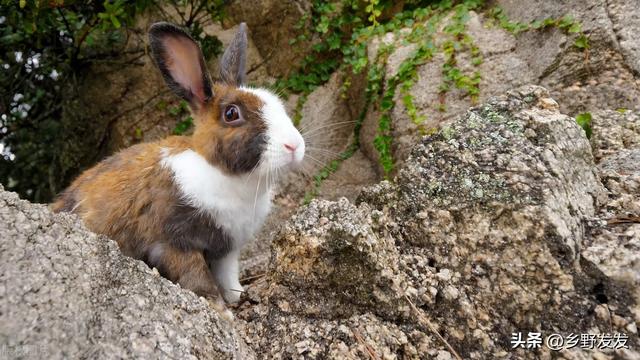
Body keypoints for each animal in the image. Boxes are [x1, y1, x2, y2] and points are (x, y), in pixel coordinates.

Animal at [52, 21, 304, 304]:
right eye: (231, 114)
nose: (294, 145)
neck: (225, 175)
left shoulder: (227, 252)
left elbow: (229, 279)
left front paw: (239, 297)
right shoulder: (174, 243)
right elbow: (198, 279)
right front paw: (221, 310)